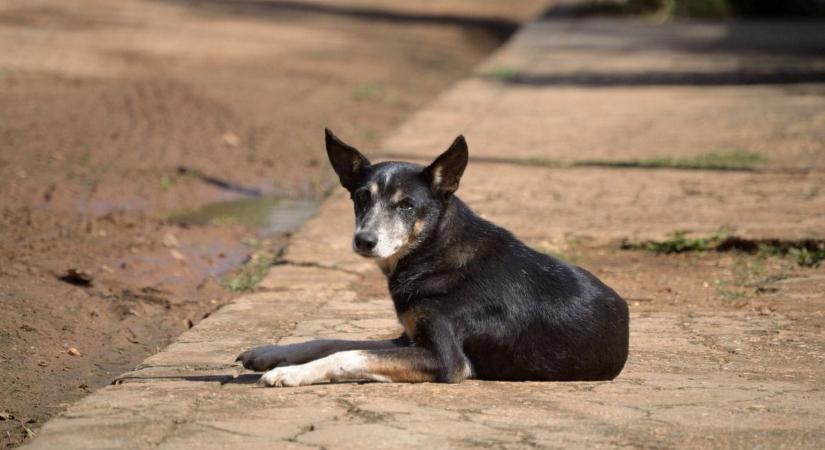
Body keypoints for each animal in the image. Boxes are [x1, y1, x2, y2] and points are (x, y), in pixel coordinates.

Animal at [235, 130, 628, 386]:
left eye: (407, 205)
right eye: (361, 198)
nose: (364, 241)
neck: (433, 252)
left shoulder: (446, 360)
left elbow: (348, 355)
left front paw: (289, 372)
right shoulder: (407, 338)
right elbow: (330, 341)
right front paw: (269, 353)